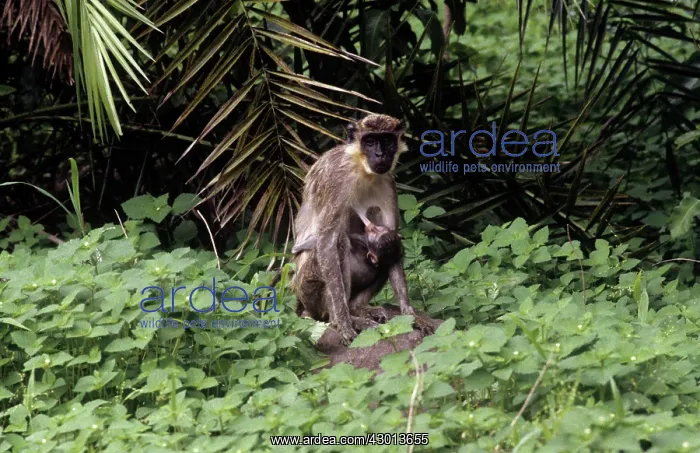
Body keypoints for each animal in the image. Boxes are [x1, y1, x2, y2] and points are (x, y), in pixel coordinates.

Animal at [291, 114, 434, 345]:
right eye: (370, 141)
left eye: (386, 140)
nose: (380, 154)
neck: (361, 169)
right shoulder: (336, 178)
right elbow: (327, 242)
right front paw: (343, 322)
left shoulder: (387, 181)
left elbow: (393, 236)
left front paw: (410, 314)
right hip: (307, 287)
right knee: (338, 243)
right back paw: (344, 317)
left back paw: (358, 309)